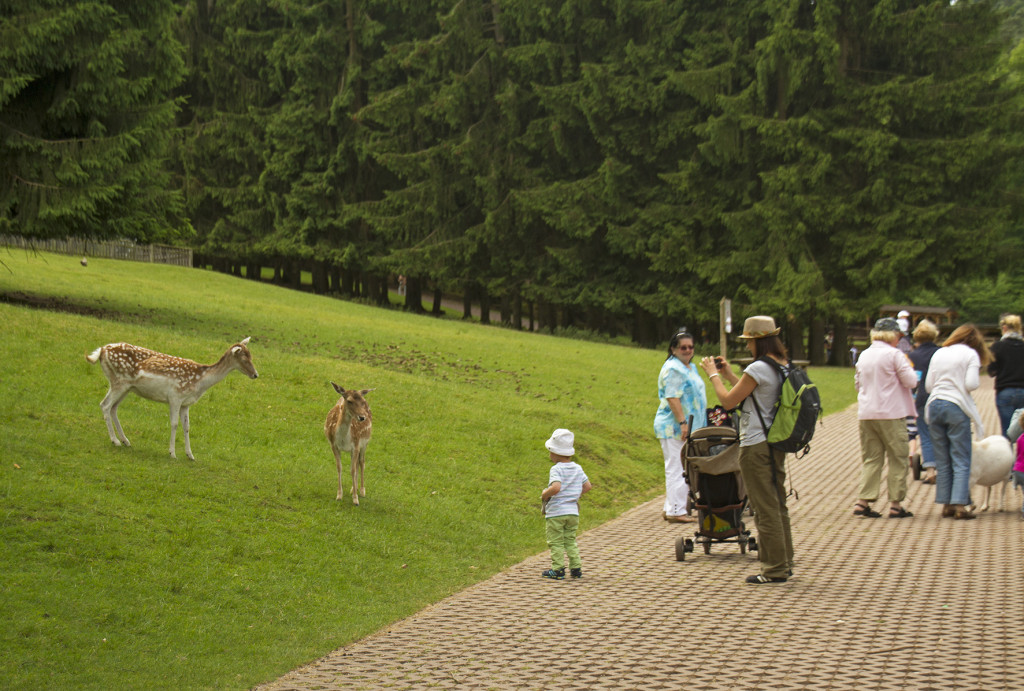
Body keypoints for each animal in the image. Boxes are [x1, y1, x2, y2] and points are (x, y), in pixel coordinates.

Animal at [86, 339, 260, 462]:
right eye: (244, 358)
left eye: (251, 355)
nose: (256, 374)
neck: (200, 382)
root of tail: (101, 351)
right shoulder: (175, 396)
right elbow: (174, 424)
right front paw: (172, 453)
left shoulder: (186, 403)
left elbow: (187, 427)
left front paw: (190, 455)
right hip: (119, 381)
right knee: (105, 405)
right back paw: (115, 440)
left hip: (126, 386)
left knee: (113, 407)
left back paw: (125, 441)